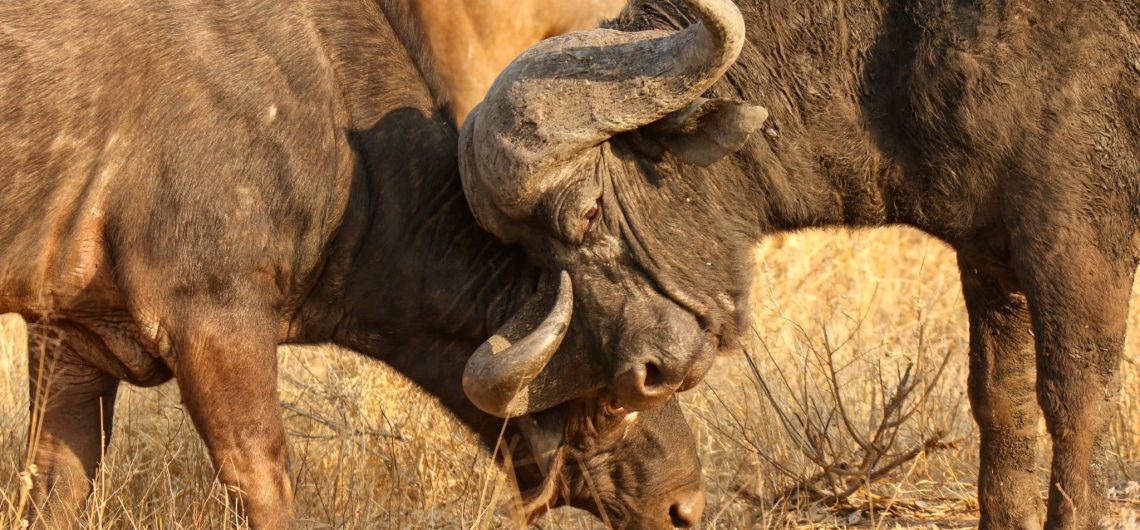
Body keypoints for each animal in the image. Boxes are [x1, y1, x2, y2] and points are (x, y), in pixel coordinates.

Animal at [0, 0, 704, 528]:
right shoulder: (213, 322)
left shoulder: (71, 343)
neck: (350, 159)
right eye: (614, 400)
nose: (687, 507)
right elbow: (263, 482)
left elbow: (54, 485)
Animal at [461, 0, 1140, 528]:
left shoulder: (1077, 242)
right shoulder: (991, 261)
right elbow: (1002, 402)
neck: (891, 49)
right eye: (530, 250)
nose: (642, 374)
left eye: (588, 212)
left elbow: (1076, 399)